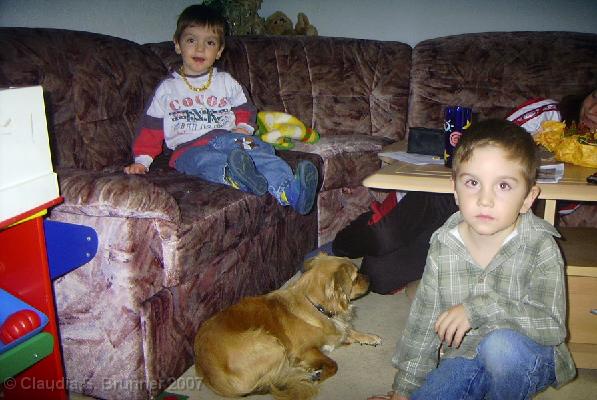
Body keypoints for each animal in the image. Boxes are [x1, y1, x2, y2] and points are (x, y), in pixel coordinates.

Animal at [194, 253, 382, 400]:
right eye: (356, 277)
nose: (371, 279)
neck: (317, 307)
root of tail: (206, 371)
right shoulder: (305, 351)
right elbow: (333, 364)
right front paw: (319, 374)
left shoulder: (337, 330)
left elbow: (349, 331)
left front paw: (369, 337)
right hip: (270, 342)